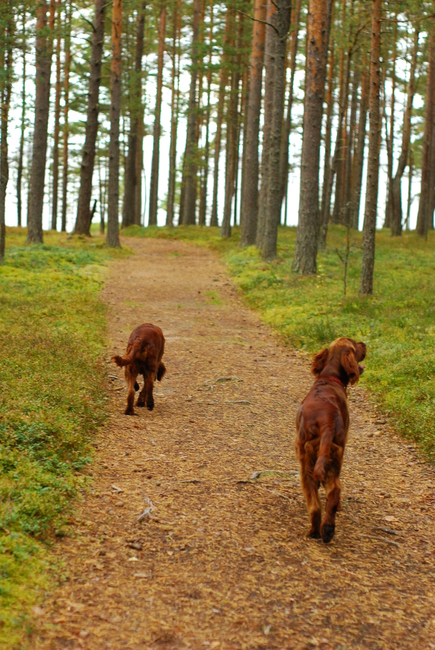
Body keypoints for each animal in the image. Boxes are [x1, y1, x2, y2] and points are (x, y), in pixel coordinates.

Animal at [296, 336, 368, 540]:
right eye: (355, 345)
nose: (365, 343)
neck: (329, 378)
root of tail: (325, 420)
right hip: (332, 457)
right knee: (333, 492)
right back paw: (326, 529)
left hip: (308, 461)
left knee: (316, 503)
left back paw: (317, 531)